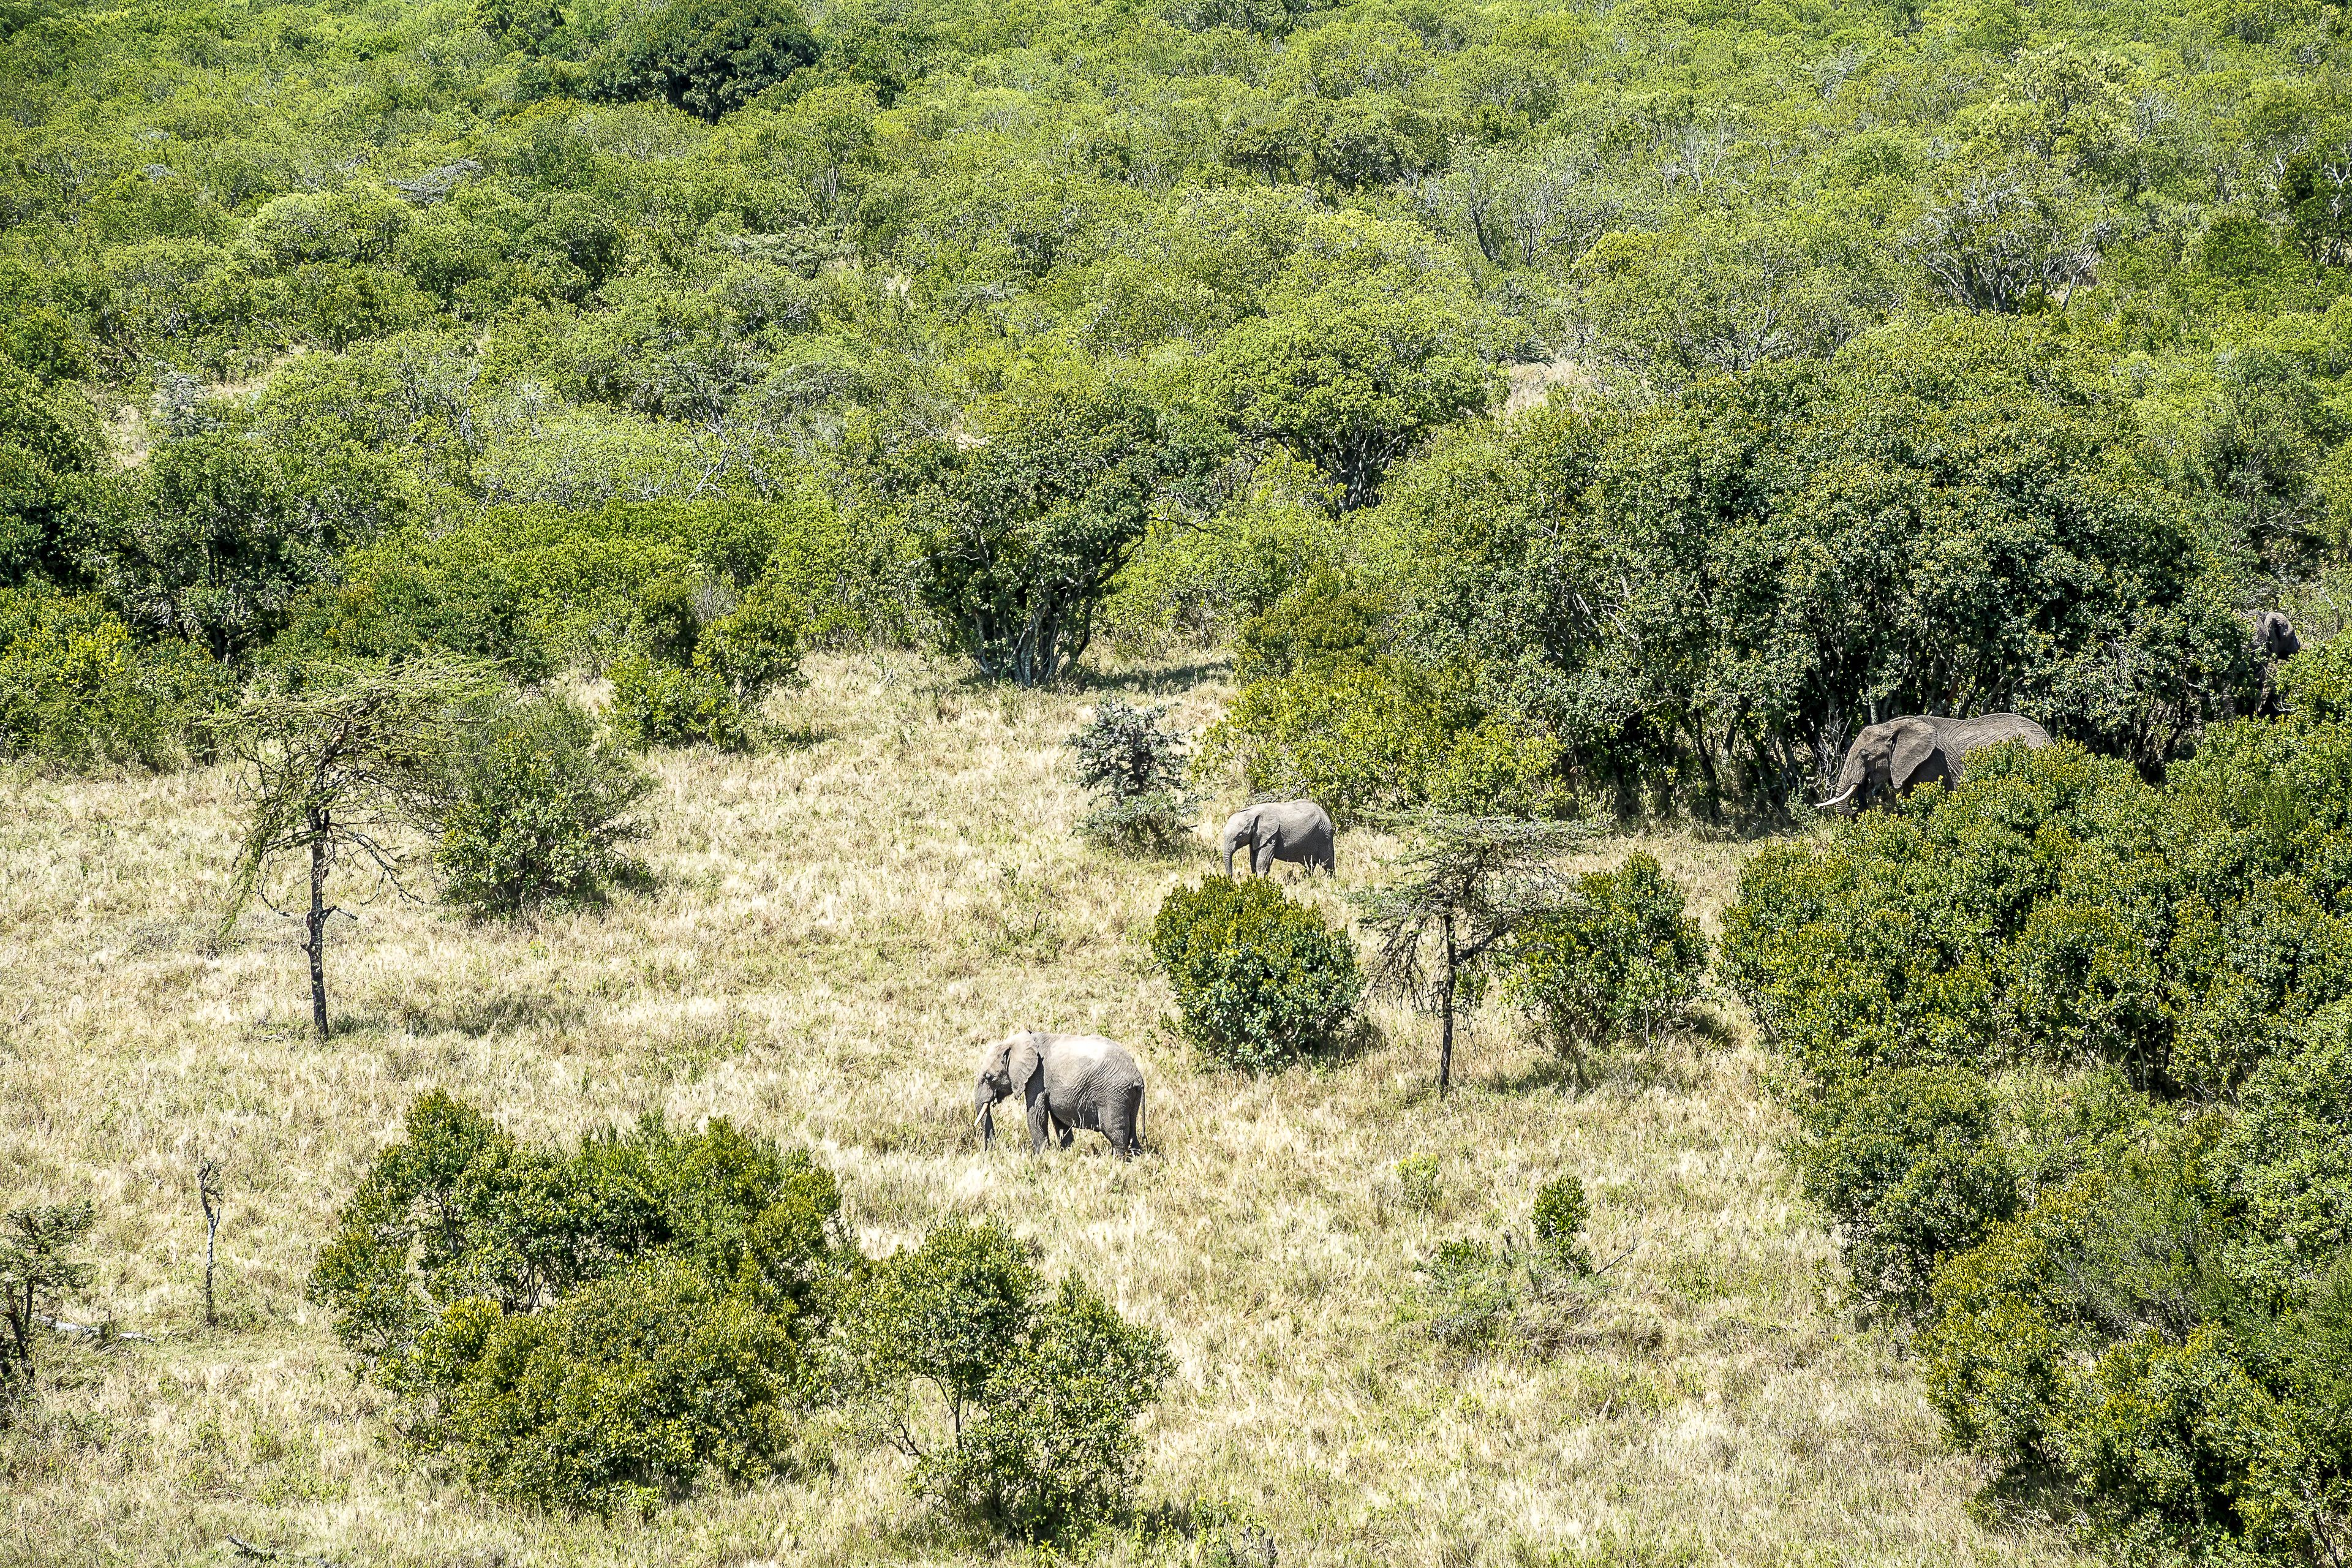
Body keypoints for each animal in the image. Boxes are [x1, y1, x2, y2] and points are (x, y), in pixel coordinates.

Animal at [973, 1032, 1146, 1158]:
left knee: (1115, 1132)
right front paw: (1066, 1153)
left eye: (989, 1077)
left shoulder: (1037, 1078)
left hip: (1113, 1096)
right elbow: (1059, 1122)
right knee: (1132, 1131)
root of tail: (1138, 1077)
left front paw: (1040, 1158)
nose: (990, 1152)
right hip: (1128, 1096)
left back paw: (1117, 1162)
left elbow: (1036, 1115)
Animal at [1221, 800, 1336, 877]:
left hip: (1324, 836)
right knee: (1309, 865)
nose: (1230, 878)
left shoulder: (1271, 836)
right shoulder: (1256, 837)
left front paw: (1261, 882)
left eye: (1240, 835)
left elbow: (1262, 860)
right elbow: (1253, 860)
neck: (1252, 812)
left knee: (1328, 863)